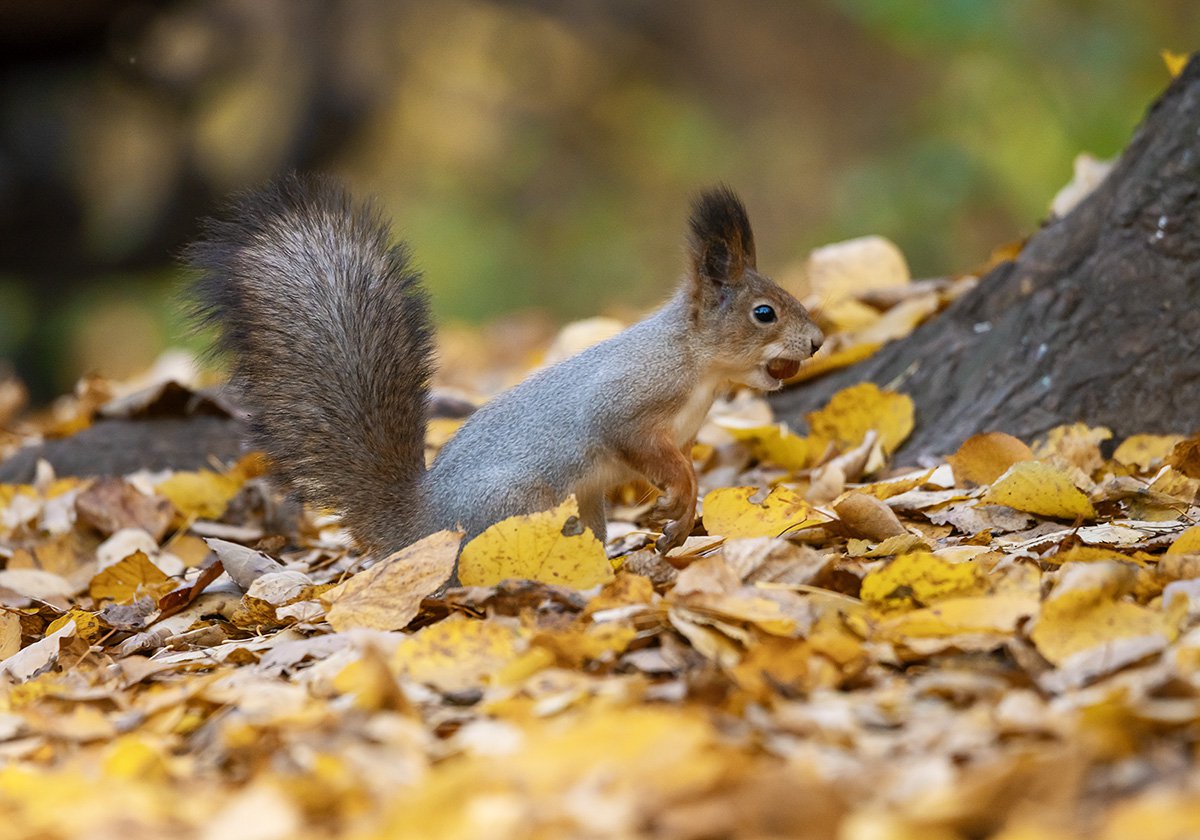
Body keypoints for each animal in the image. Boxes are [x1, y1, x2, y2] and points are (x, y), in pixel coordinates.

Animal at [184, 174, 825, 561]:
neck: (698, 367)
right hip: (521, 502)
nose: (818, 341)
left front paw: (680, 514)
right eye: (764, 313)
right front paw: (680, 497)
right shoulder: (629, 402)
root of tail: (422, 526)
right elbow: (643, 446)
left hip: (581, 499)